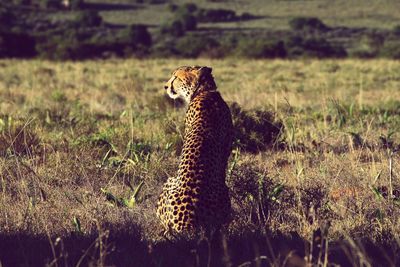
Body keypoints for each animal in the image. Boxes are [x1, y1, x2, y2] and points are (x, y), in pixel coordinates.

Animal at [155, 66, 233, 234]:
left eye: (176, 77)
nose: (165, 86)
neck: (205, 91)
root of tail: (189, 225)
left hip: (168, 182)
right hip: (226, 196)